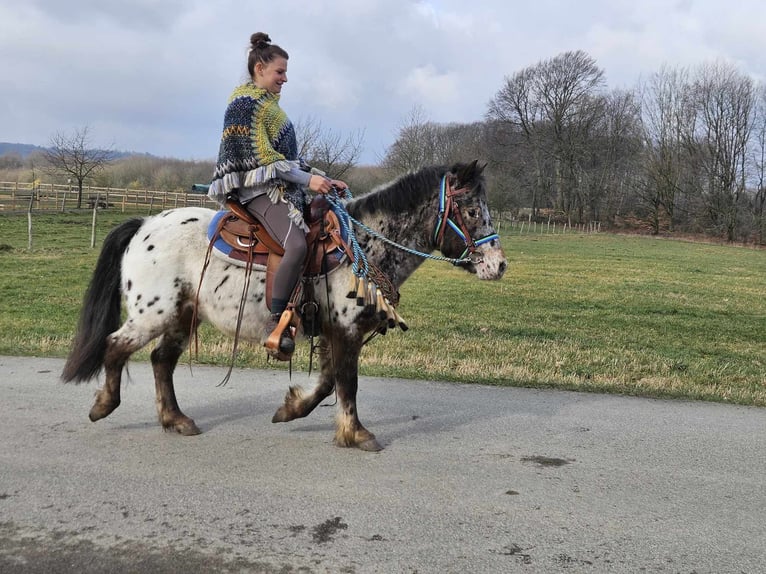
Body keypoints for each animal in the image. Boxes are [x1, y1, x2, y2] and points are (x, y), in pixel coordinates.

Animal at [63, 160, 510, 452]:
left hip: (181, 314)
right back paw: (104, 406)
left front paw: (291, 409)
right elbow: (347, 382)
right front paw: (357, 434)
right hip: (152, 313)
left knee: (161, 361)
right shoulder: (346, 330)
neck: (362, 246)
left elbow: (328, 382)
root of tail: (144, 224)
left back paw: (176, 420)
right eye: (472, 210)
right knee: (116, 346)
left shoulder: (333, 331)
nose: (499, 264)